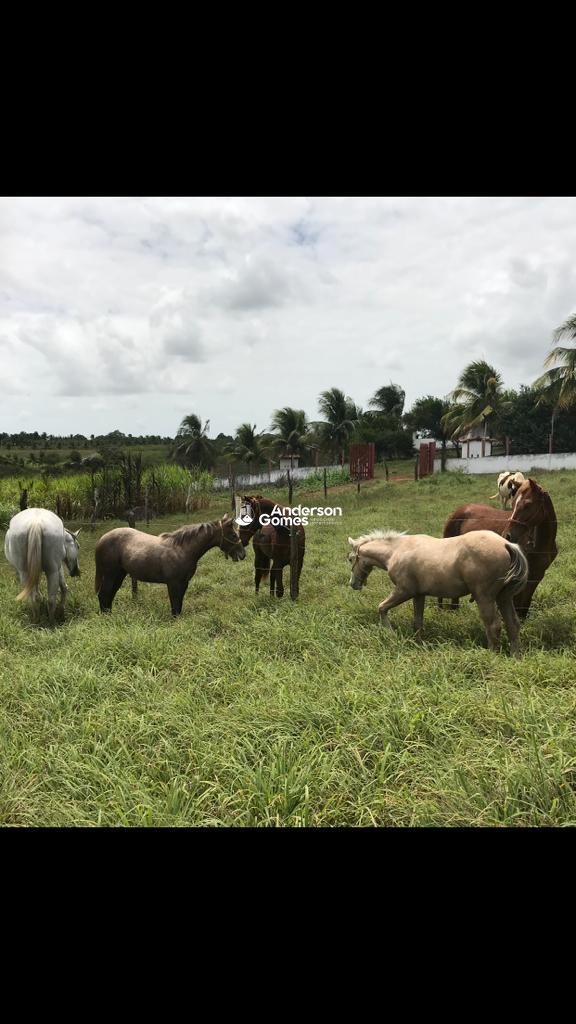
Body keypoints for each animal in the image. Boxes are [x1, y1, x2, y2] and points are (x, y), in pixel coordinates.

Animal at [93, 512, 243, 614]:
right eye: (233, 535)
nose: (242, 554)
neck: (182, 549)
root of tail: (101, 539)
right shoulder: (173, 584)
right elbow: (175, 606)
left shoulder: (183, 583)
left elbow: (179, 606)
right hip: (111, 575)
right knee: (104, 595)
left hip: (119, 575)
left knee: (109, 596)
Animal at [348, 528, 528, 655]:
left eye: (350, 559)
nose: (353, 584)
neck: (396, 551)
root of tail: (507, 544)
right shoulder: (418, 595)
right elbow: (417, 622)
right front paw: (418, 644)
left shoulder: (403, 591)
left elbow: (382, 608)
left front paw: (389, 633)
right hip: (504, 598)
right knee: (512, 624)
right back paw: (515, 655)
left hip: (485, 598)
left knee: (493, 626)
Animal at [438, 477, 557, 618]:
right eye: (513, 504)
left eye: (527, 504)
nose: (507, 535)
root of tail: (460, 510)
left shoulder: (537, 576)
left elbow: (524, 606)